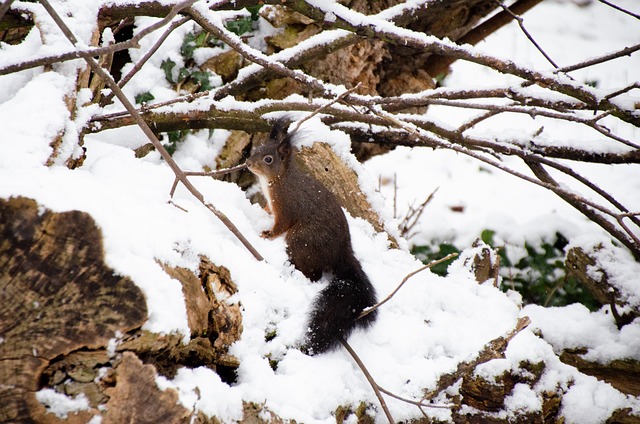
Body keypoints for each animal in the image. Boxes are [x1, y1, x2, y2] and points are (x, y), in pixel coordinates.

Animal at [244, 117, 376, 352]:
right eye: (256, 150)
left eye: (268, 159)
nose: (248, 164)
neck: (279, 179)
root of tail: (342, 253)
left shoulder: (287, 205)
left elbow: (282, 225)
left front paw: (268, 234)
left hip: (301, 240)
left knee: (312, 273)